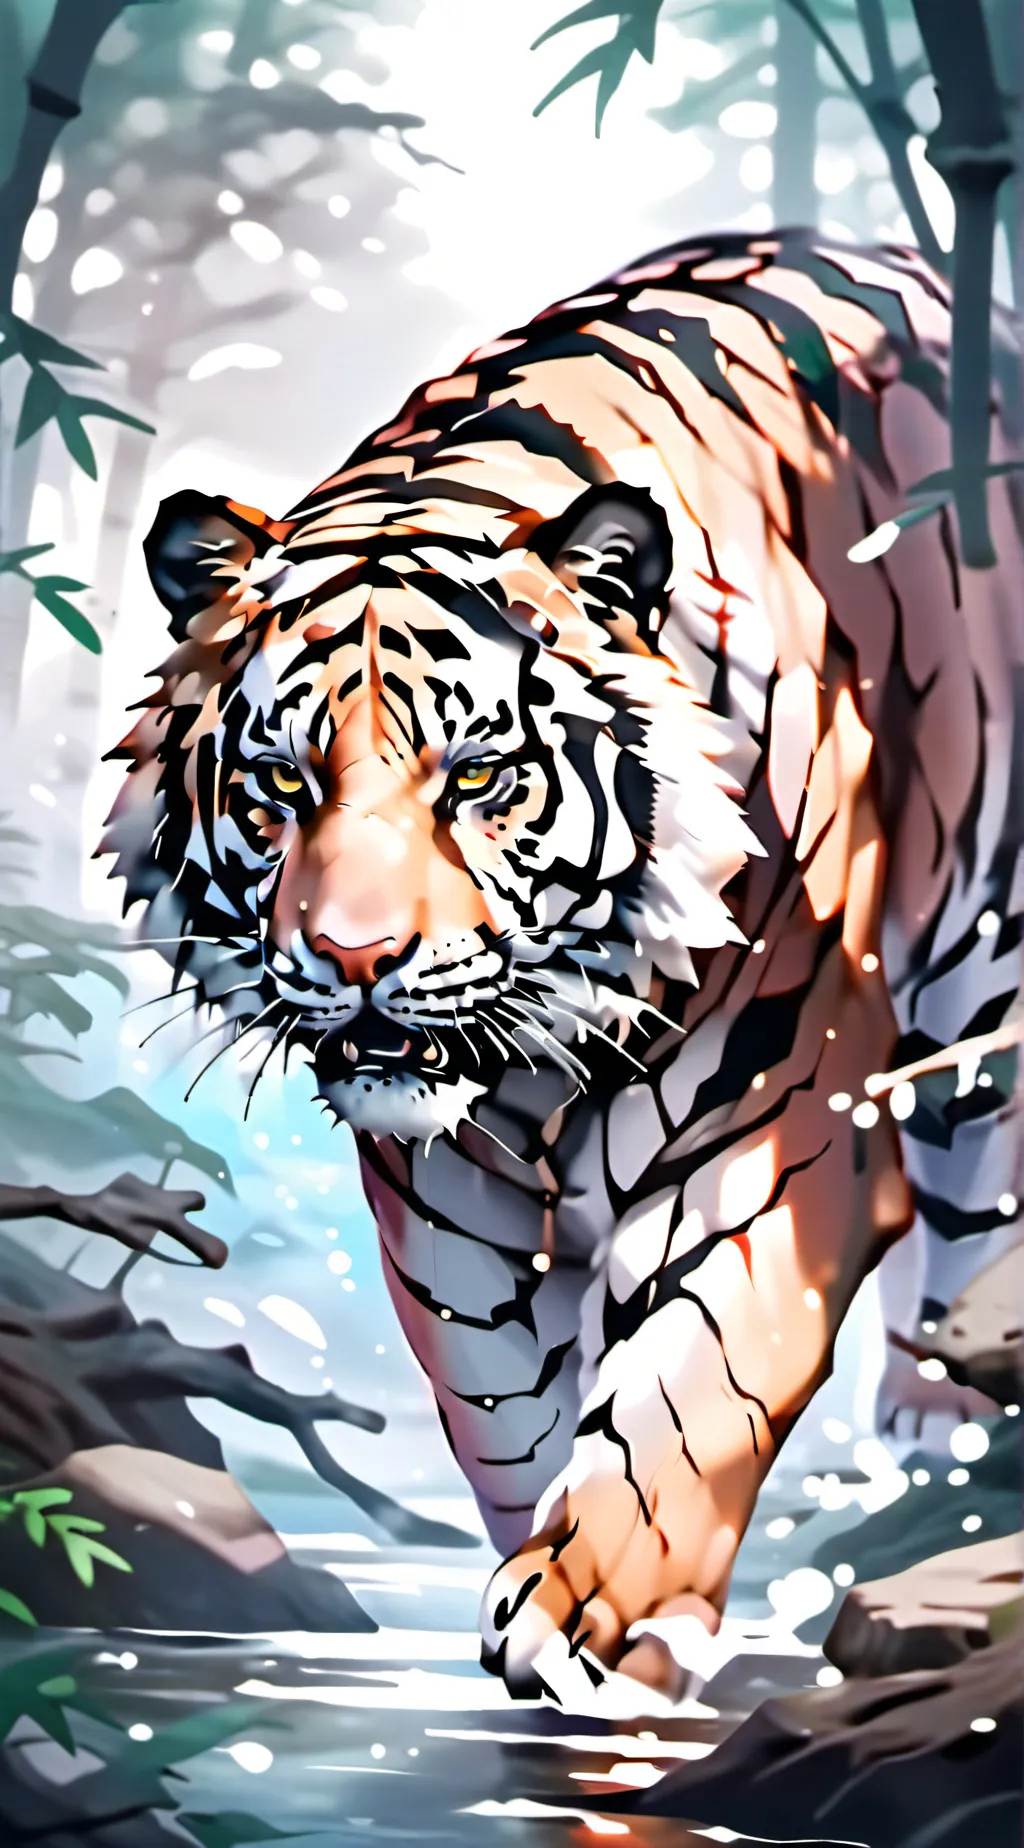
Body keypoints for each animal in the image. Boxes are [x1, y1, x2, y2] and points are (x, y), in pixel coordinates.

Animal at [104, 228, 1024, 1702]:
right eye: (283, 785)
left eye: (476, 779)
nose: (354, 955)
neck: (535, 1068)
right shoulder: (444, 1205)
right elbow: (502, 1405)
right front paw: (535, 1544)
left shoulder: (774, 1143)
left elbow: (688, 1390)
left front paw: (595, 1616)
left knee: (977, 1175)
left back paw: (939, 1414)